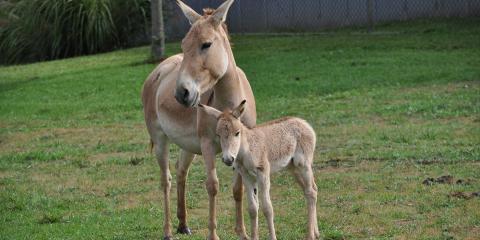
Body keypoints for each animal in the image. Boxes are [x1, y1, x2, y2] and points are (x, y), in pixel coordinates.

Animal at [199, 101, 318, 240]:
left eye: (237, 133)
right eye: (218, 135)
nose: (228, 159)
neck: (246, 150)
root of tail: (303, 122)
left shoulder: (263, 174)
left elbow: (267, 208)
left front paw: (273, 237)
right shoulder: (246, 176)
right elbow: (252, 208)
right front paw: (254, 236)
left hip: (303, 164)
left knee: (311, 192)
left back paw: (310, 235)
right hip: (293, 168)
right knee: (312, 190)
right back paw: (316, 233)